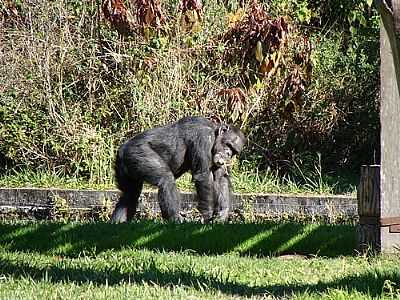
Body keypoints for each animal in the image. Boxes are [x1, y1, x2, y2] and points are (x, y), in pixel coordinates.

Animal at [111, 116, 245, 223]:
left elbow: (220, 179)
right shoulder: (203, 137)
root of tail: (122, 150)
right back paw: (176, 219)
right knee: (166, 179)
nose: (228, 154)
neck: (214, 133)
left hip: (125, 167)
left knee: (130, 194)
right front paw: (207, 216)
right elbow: (203, 176)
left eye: (234, 151)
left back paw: (118, 223)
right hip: (137, 154)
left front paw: (222, 215)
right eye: (229, 145)